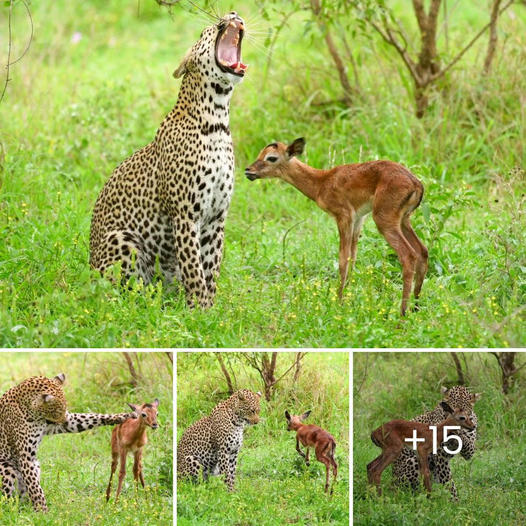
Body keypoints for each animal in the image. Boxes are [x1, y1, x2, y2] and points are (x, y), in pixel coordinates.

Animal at [0, 374, 136, 512]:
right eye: (57, 409)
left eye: (64, 408)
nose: (64, 420)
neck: (33, 412)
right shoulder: (26, 457)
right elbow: (35, 488)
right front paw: (43, 511)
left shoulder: (63, 423)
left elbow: (91, 418)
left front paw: (123, 416)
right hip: (7, 468)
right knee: (6, 499)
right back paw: (12, 509)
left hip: (35, 466)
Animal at [89, 11, 249, 310]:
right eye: (205, 31)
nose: (233, 14)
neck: (217, 119)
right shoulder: (185, 215)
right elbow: (195, 268)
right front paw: (199, 311)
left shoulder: (217, 217)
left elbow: (211, 268)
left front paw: (211, 310)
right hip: (122, 240)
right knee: (125, 293)